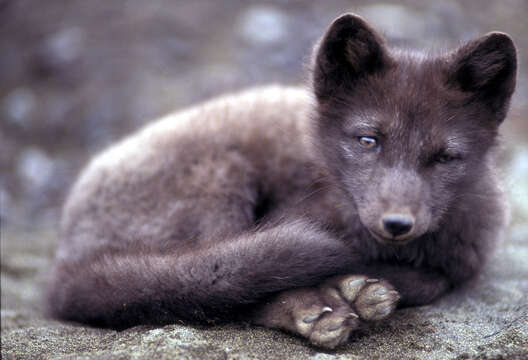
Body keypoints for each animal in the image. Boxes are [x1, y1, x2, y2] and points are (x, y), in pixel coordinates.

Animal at [46, 14, 516, 348]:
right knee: (213, 288)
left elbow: (433, 280)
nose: (397, 224)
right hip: (222, 179)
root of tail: (66, 265)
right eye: (368, 140)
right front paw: (346, 290)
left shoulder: (464, 263)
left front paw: (359, 288)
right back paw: (321, 311)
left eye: (445, 157)